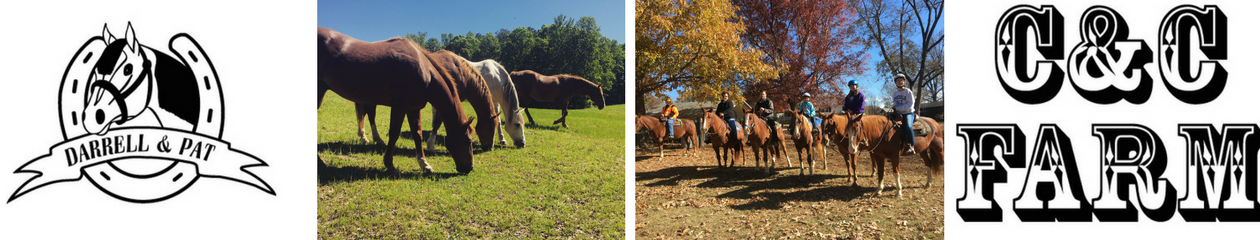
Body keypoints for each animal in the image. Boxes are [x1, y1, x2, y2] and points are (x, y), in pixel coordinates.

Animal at [320, 27, 476, 174]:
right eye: (468, 140)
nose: (469, 167)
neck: (423, 69)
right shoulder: (400, 106)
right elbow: (394, 133)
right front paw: (390, 165)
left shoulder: (413, 108)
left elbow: (417, 134)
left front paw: (424, 164)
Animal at [352, 50, 498, 151]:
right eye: (491, 128)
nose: (489, 147)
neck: (462, 73)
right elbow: (438, 122)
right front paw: (431, 145)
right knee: (370, 114)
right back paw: (376, 138)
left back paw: (364, 136)